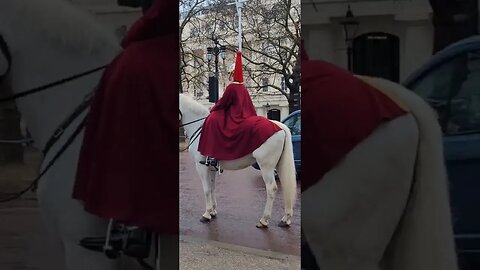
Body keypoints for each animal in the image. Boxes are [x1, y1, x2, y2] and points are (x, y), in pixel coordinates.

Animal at [178, 94, 296, 229]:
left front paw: (207, 214)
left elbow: (206, 189)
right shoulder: (210, 167)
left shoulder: (201, 166)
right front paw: (213, 211)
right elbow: (212, 187)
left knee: (271, 189)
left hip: (266, 166)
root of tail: (280, 127)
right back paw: (285, 219)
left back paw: (264, 220)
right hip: (278, 165)